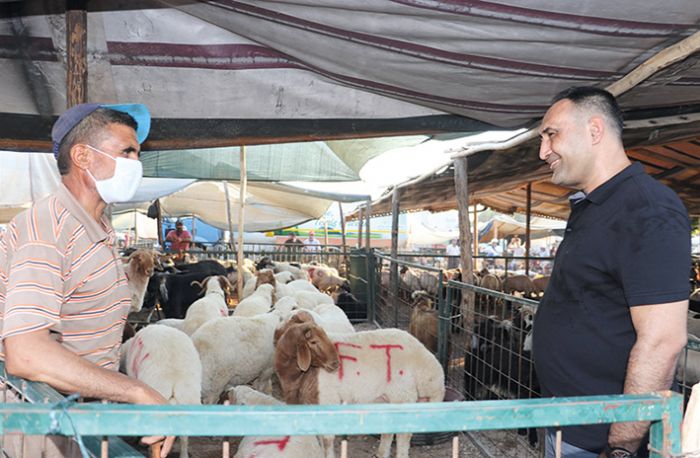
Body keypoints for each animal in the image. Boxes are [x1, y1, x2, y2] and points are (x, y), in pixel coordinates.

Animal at [274, 314, 442, 458]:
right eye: (313, 342)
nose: (336, 363)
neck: (299, 376)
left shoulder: (327, 399)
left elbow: (326, 440)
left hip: (403, 396)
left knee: (403, 434)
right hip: (387, 399)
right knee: (388, 430)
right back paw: (382, 453)